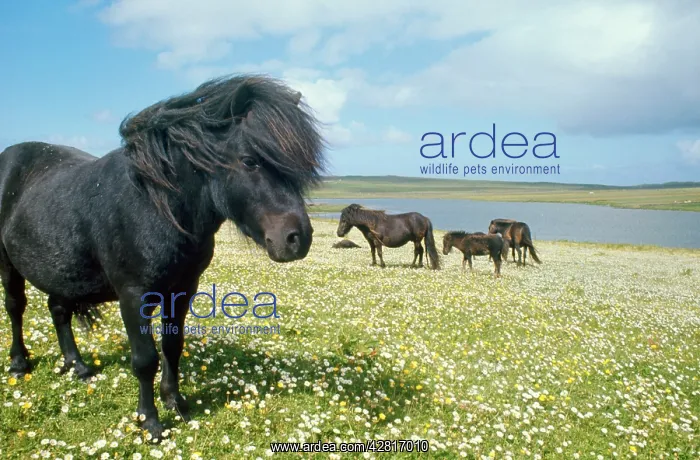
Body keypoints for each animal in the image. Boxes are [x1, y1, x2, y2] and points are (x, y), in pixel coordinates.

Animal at [0, 74, 325, 440]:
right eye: (249, 160)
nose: (297, 238)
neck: (156, 205)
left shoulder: (182, 290)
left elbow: (173, 346)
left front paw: (176, 403)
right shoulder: (133, 295)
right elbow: (145, 359)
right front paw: (150, 422)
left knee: (57, 310)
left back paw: (78, 366)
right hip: (8, 264)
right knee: (15, 307)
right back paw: (19, 363)